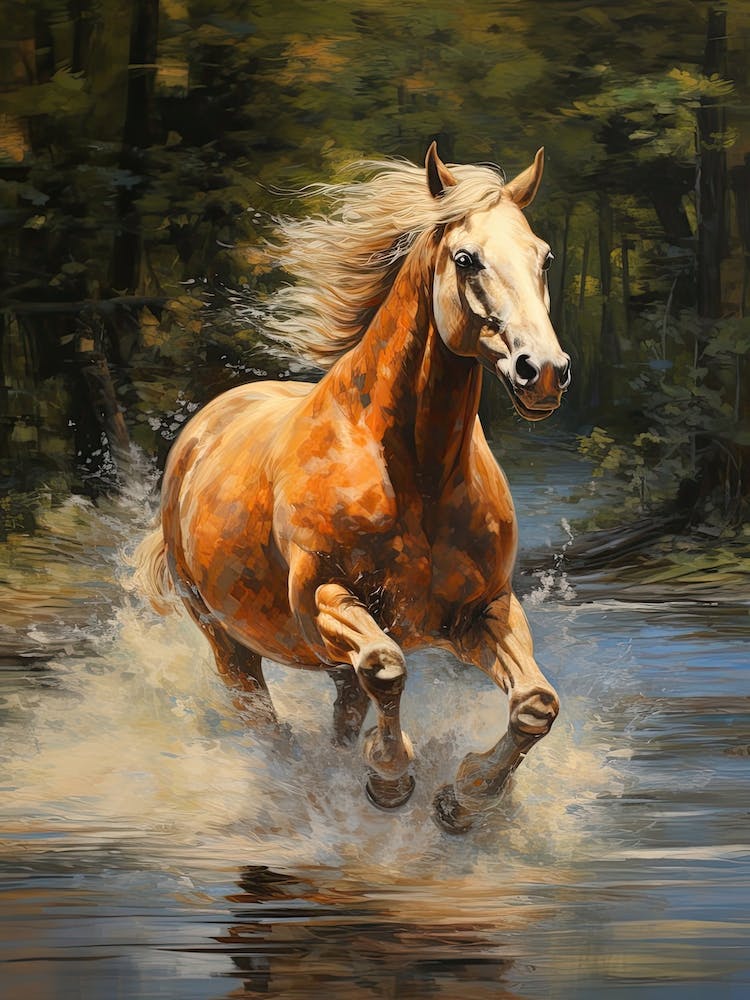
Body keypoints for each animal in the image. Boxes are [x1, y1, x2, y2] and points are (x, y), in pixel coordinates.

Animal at [133, 143, 571, 833]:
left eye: (544, 257)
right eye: (466, 259)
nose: (543, 372)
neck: (414, 476)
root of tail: (200, 431)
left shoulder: (484, 610)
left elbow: (534, 704)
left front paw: (464, 798)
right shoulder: (324, 599)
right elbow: (387, 667)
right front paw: (391, 779)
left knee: (344, 703)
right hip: (227, 642)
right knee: (268, 722)